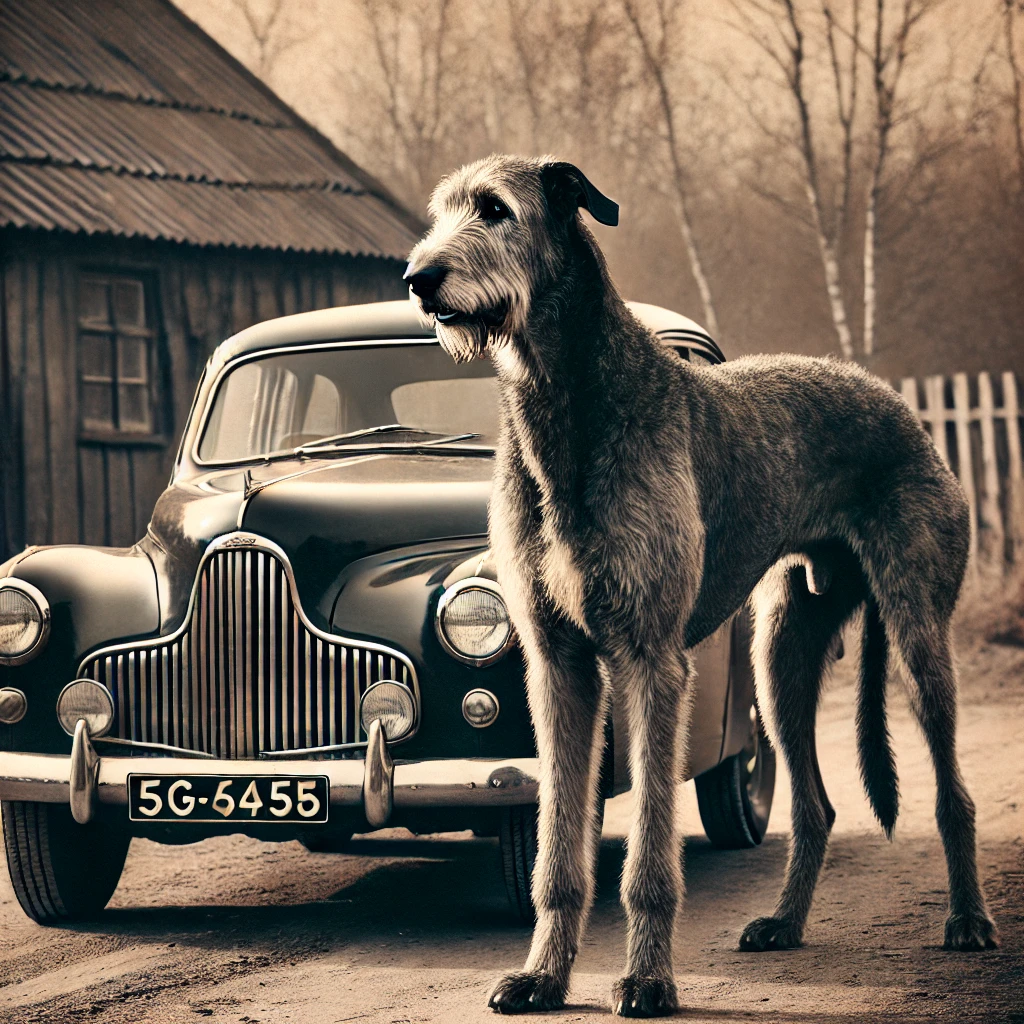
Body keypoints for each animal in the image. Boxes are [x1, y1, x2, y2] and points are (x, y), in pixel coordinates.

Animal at [403, 151, 995, 1015]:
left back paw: (969, 921)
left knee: (953, 793)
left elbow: (650, 855)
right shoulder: (556, 666)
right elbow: (558, 852)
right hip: (779, 656)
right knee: (815, 806)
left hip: (919, 636)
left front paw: (648, 980)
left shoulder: (653, 661)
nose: (418, 277)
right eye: (440, 213)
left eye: (496, 210)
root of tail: (894, 399)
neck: (572, 409)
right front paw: (542, 975)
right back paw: (784, 923)